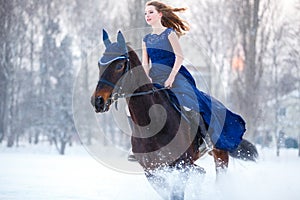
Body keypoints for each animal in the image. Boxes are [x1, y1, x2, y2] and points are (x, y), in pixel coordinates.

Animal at [91, 30, 258, 200]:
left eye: (119, 66)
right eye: (99, 64)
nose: (97, 101)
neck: (152, 124)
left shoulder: (181, 166)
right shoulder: (152, 171)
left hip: (219, 154)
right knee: (201, 173)